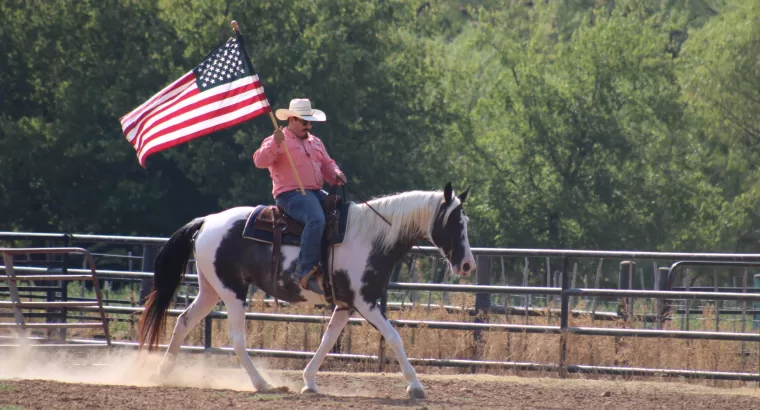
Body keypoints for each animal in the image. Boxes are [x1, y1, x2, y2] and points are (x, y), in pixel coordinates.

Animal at [137, 182, 476, 398]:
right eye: (455, 223)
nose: (468, 265)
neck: (371, 237)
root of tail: (207, 221)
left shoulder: (345, 305)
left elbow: (327, 340)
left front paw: (309, 382)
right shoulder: (365, 302)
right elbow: (394, 337)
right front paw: (415, 387)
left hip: (211, 289)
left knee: (184, 321)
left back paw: (163, 373)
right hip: (232, 292)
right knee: (236, 338)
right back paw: (263, 384)